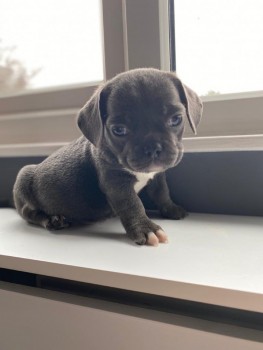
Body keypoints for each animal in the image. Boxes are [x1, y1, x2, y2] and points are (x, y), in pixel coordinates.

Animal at [12, 69, 204, 246]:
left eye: (176, 119)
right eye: (119, 130)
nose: (153, 148)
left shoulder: (157, 175)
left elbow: (161, 192)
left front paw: (171, 208)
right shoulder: (116, 184)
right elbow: (132, 204)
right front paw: (146, 228)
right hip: (24, 177)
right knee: (30, 213)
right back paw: (52, 220)